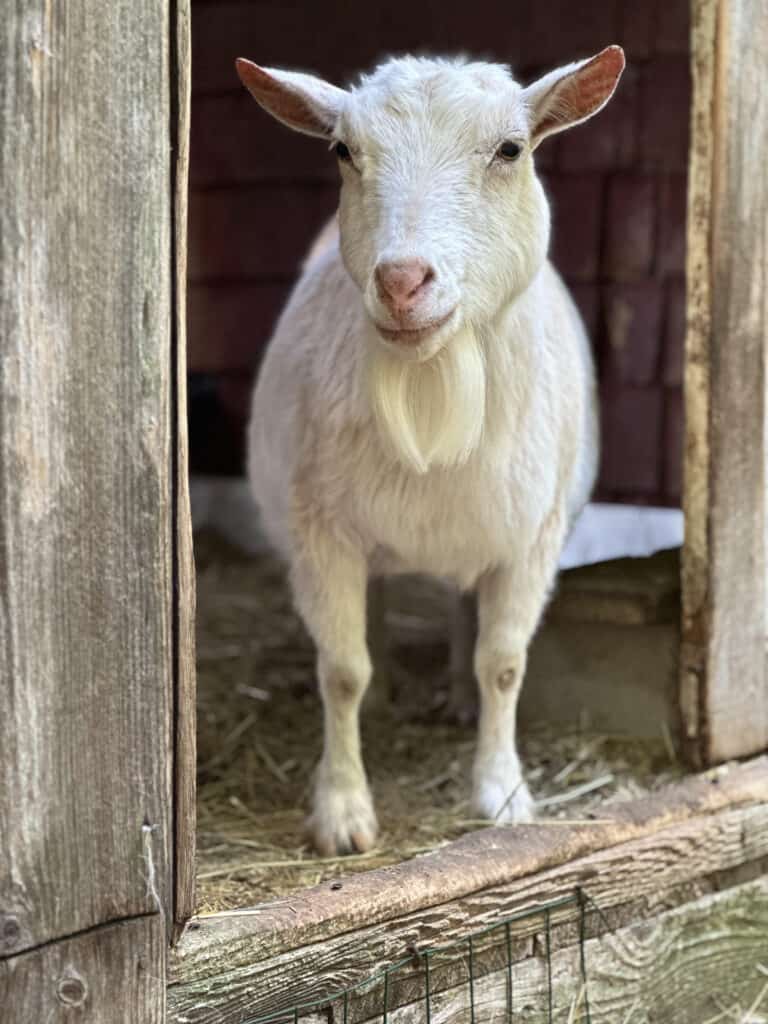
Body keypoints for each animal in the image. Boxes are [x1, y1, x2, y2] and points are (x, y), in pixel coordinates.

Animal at [236, 47, 625, 855]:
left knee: (459, 608)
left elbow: (503, 664)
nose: (402, 281)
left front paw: (501, 792)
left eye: (510, 149)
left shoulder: (531, 537)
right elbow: (341, 669)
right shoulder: (322, 533)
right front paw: (343, 812)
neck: (430, 385)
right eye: (343, 151)